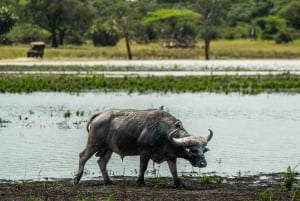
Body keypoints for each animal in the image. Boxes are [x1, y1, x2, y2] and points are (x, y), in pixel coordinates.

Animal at [74, 107, 212, 188]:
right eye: (192, 150)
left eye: (203, 150)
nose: (203, 163)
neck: (163, 132)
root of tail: (100, 114)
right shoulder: (145, 152)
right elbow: (143, 167)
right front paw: (140, 182)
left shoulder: (171, 156)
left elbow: (174, 170)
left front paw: (179, 184)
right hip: (93, 144)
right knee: (83, 156)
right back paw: (77, 179)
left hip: (109, 149)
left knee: (101, 162)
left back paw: (108, 181)